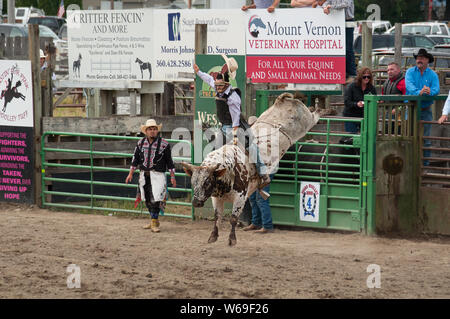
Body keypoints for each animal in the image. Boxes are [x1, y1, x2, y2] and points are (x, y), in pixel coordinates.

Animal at [181, 93, 326, 248]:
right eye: (193, 182)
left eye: (207, 182)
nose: (196, 202)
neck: (228, 170)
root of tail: (281, 100)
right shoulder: (216, 198)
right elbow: (217, 217)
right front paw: (213, 236)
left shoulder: (240, 197)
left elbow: (233, 218)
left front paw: (232, 240)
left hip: (306, 121)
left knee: (314, 116)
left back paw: (321, 109)